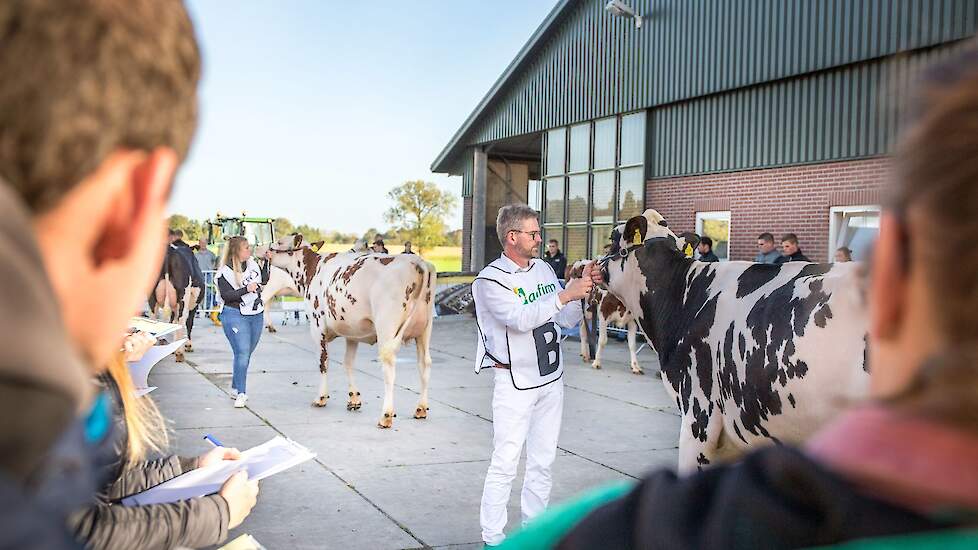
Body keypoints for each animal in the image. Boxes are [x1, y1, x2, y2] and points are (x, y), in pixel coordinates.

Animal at [266, 235, 434, 430]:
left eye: (279, 242)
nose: (263, 250)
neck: (313, 269)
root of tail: (418, 262)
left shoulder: (317, 326)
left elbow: (323, 362)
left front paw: (321, 398)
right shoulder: (352, 332)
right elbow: (348, 363)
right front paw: (354, 399)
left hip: (387, 328)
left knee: (389, 369)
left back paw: (386, 416)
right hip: (424, 330)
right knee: (424, 364)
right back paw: (421, 409)